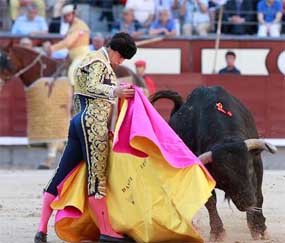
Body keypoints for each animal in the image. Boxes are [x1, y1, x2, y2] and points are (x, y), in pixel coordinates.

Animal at [150, 86, 276, 240]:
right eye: (225, 177)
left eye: (250, 169)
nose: (247, 201)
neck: (226, 137)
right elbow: (210, 202)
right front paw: (217, 233)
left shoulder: (257, 165)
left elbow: (258, 195)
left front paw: (259, 228)